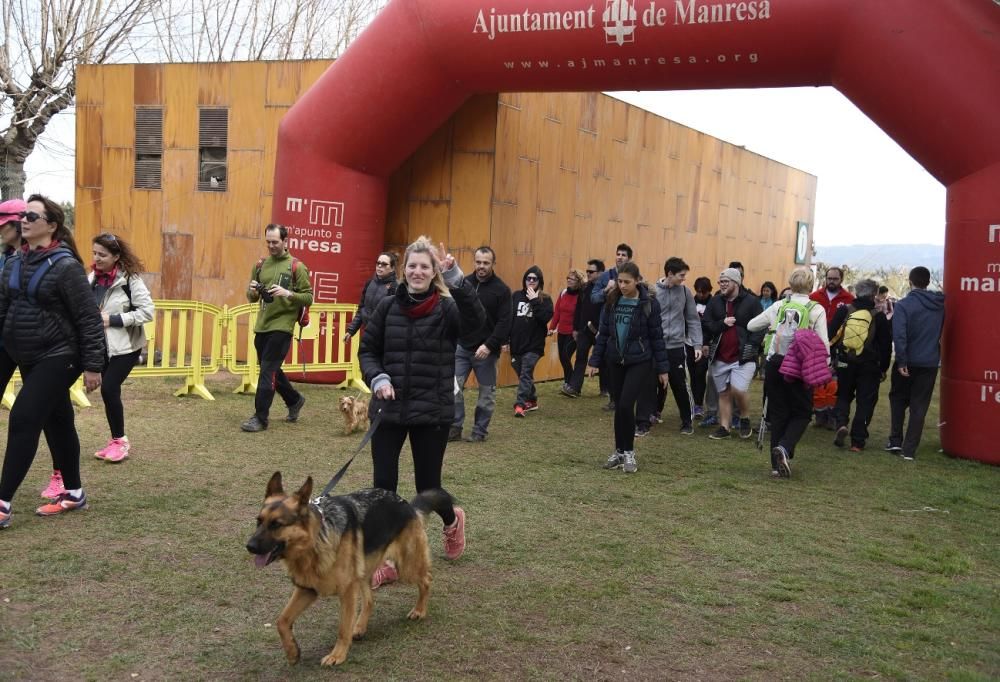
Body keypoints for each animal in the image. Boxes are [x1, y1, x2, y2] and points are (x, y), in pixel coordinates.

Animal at [246, 472, 454, 664]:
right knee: (369, 600)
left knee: (426, 580)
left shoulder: (346, 592)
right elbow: (282, 620)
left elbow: (343, 628)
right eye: (259, 521)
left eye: (276, 524)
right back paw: (360, 627)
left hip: (406, 567)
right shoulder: (307, 589)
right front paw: (292, 652)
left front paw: (337, 655)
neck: (314, 542)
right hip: (362, 573)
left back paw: (419, 610)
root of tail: (407, 505)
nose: (249, 547)